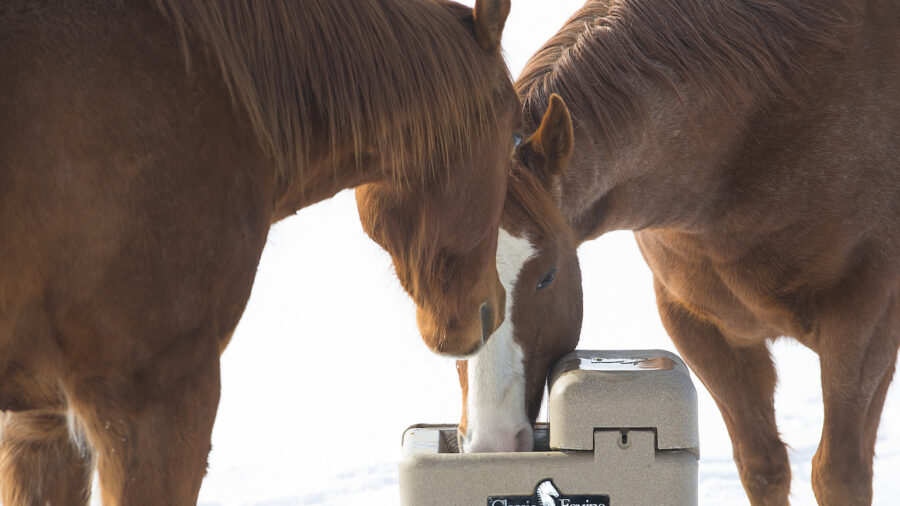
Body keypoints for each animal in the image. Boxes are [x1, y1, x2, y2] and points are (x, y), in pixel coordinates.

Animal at [458, 1, 899, 504]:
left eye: (548, 275)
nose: (491, 439)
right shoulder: (701, 325)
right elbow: (762, 465)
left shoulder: (865, 324)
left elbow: (839, 474)